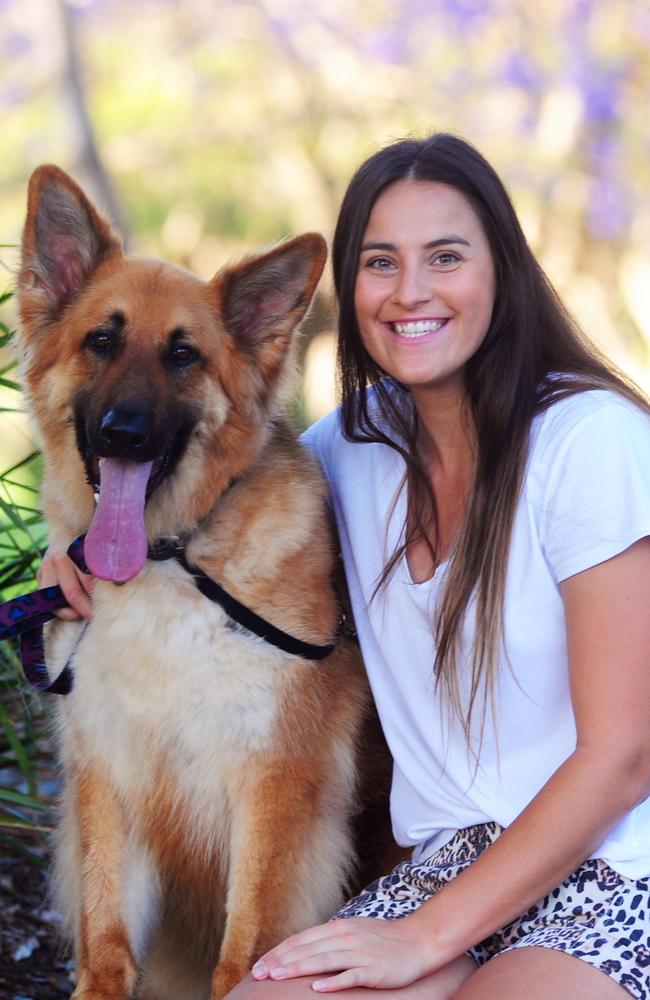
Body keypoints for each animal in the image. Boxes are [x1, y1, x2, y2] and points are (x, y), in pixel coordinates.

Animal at [17, 168, 392, 1000]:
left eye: (183, 356)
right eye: (101, 340)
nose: (123, 432)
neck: (169, 555)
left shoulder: (274, 784)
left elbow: (244, 947)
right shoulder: (106, 770)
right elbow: (107, 936)